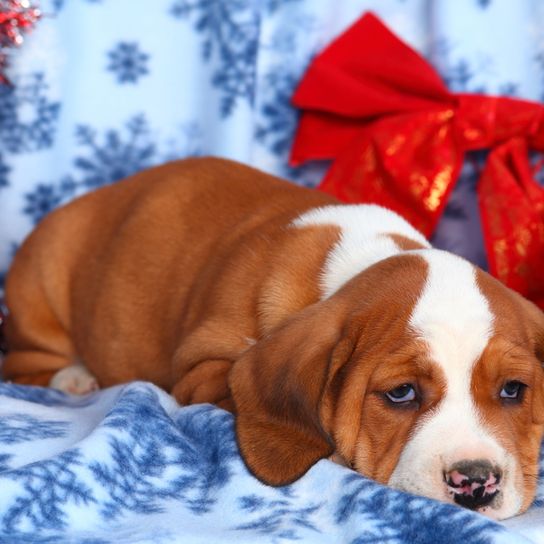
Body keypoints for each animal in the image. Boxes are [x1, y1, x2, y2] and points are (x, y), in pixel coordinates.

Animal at [1, 156, 544, 520]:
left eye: (512, 390)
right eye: (401, 394)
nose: (475, 483)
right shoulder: (204, 368)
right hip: (39, 289)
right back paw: (74, 377)